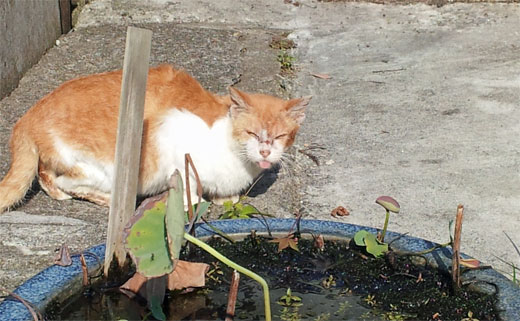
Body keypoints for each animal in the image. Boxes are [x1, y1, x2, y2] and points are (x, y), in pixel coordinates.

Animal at [0, 63, 308, 211]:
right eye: (252, 133)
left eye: (281, 136)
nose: (266, 150)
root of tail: (27, 118)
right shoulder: (174, 140)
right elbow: (191, 189)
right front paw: (191, 202)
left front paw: (224, 197)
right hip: (103, 171)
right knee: (60, 182)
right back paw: (106, 200)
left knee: (44, 174)